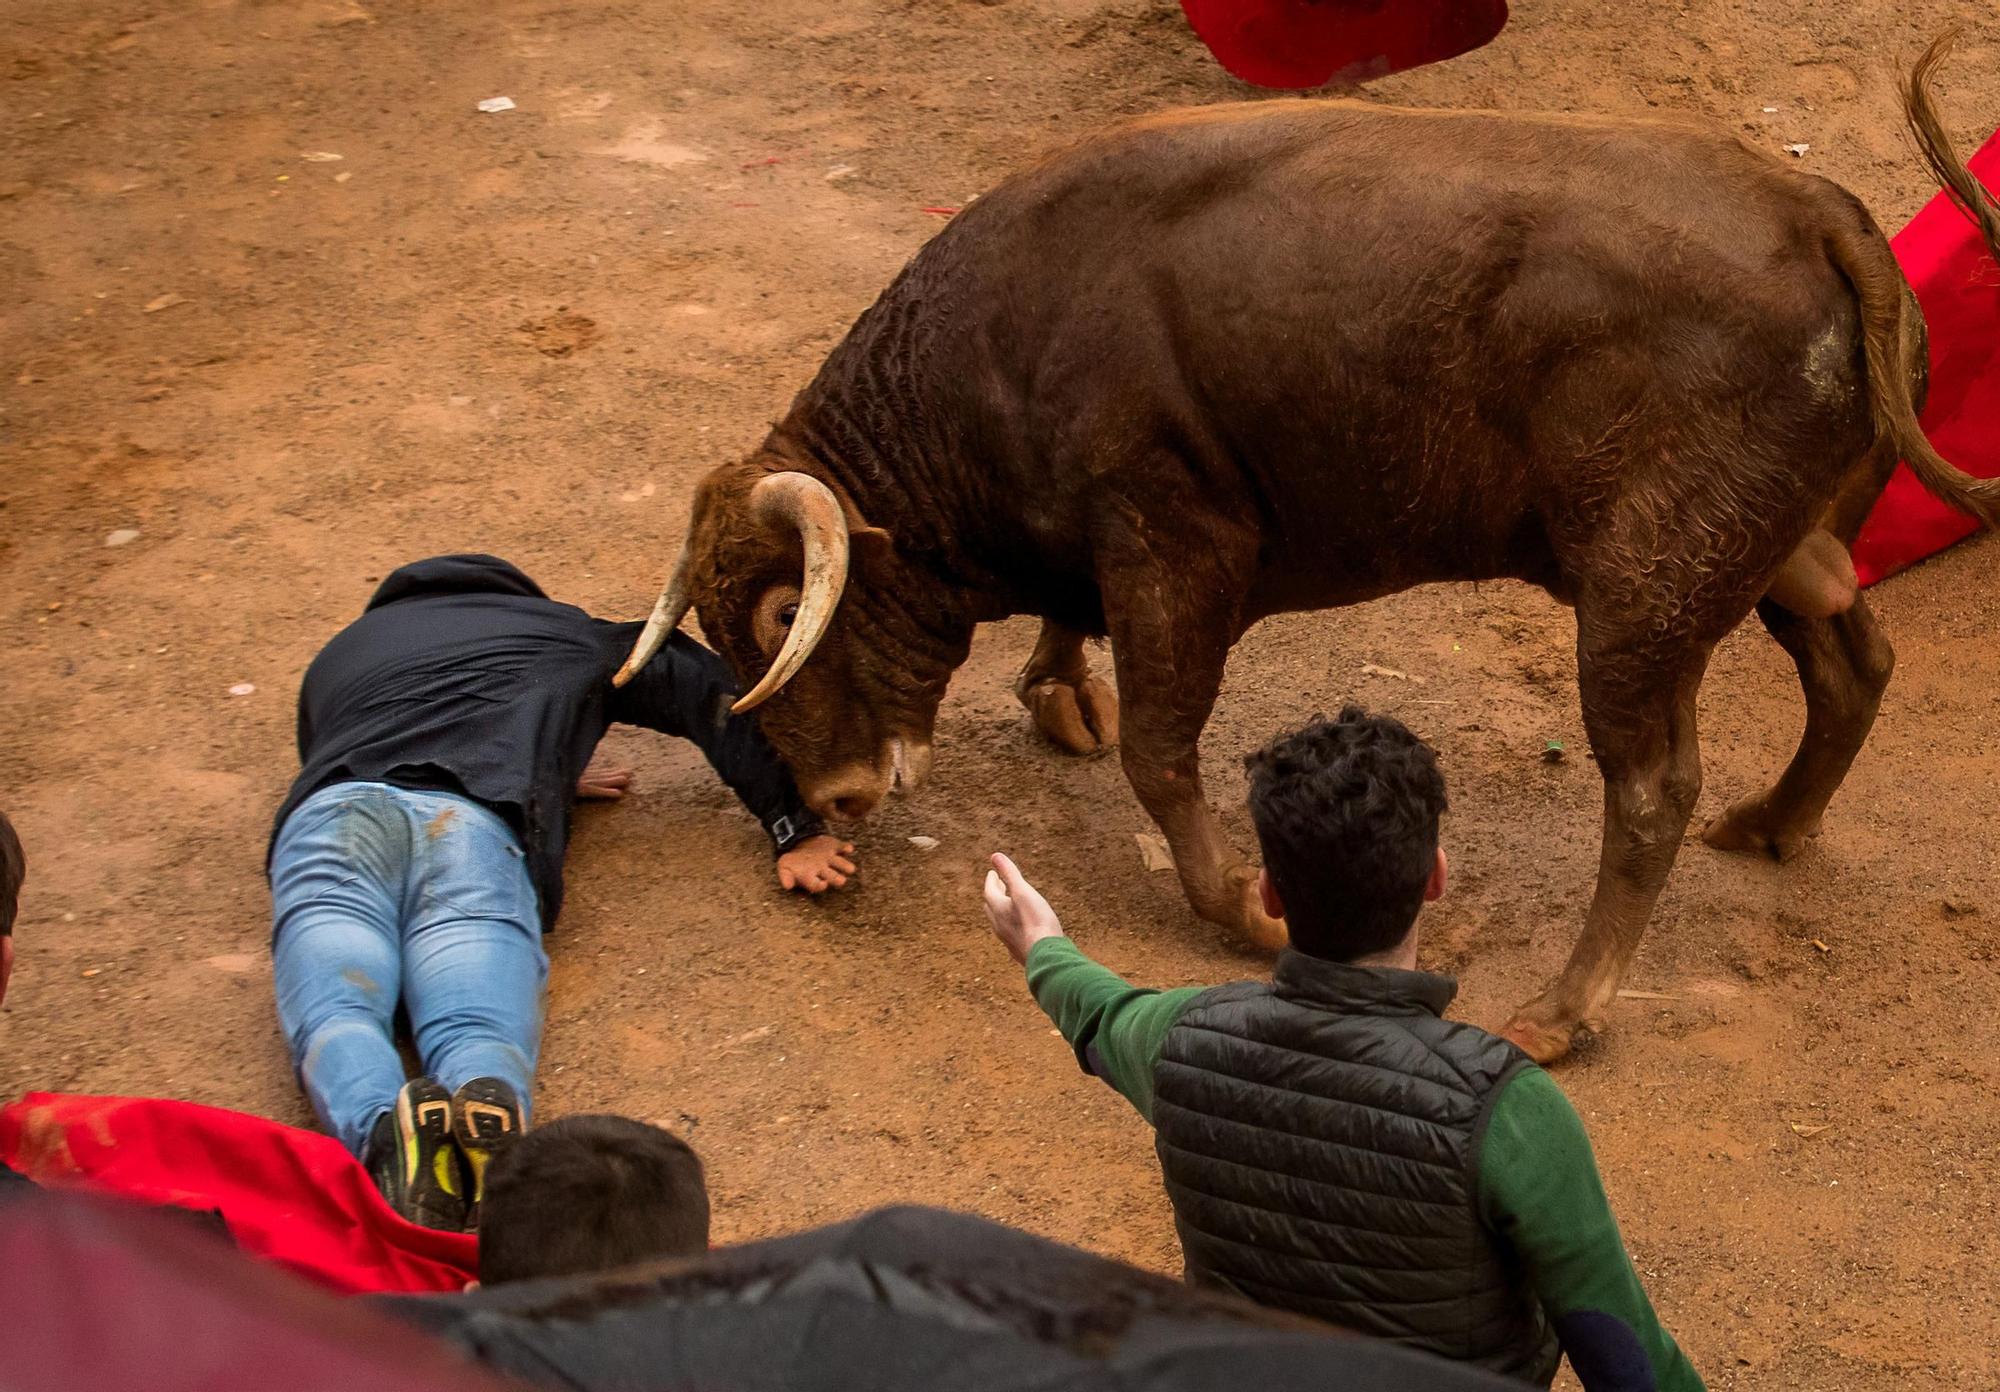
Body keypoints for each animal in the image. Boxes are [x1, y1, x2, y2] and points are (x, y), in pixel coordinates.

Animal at [620, 38, 2000, 1064]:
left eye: (780, 619)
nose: (830, 800)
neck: (986, 354)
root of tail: (1818, 212)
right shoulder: (1108, 541)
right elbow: (1082, 644)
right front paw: (1060, 695)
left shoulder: (1174, 547)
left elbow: (1162, 752)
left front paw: (1239, 903)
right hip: (1779, 554)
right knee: (1848, 664)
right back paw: (1770, 824)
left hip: (1639, 601)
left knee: (1653, 784)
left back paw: (1560, 1011)